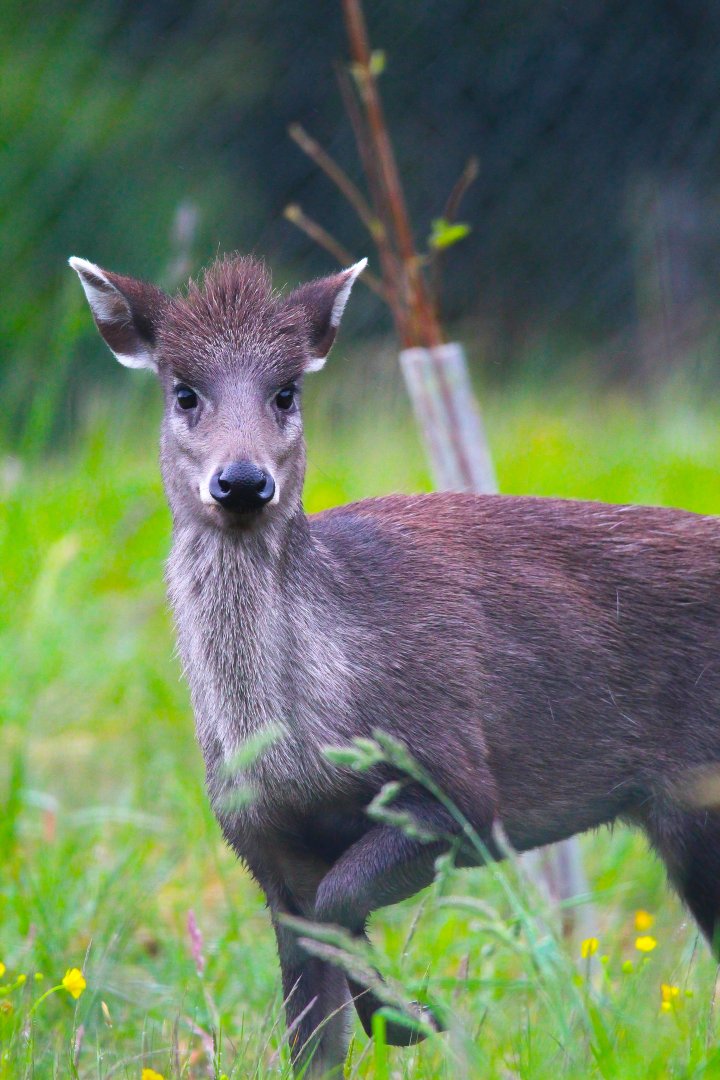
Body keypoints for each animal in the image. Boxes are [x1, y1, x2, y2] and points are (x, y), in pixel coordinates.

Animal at [70, 251, 720, 1076]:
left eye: (286, 391)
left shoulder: (459, 784)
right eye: (184, 392)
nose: (242, 481)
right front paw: (398, 1013)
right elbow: (312, 1027)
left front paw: (410, 1018)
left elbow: (343, 901)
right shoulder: (263, 845)